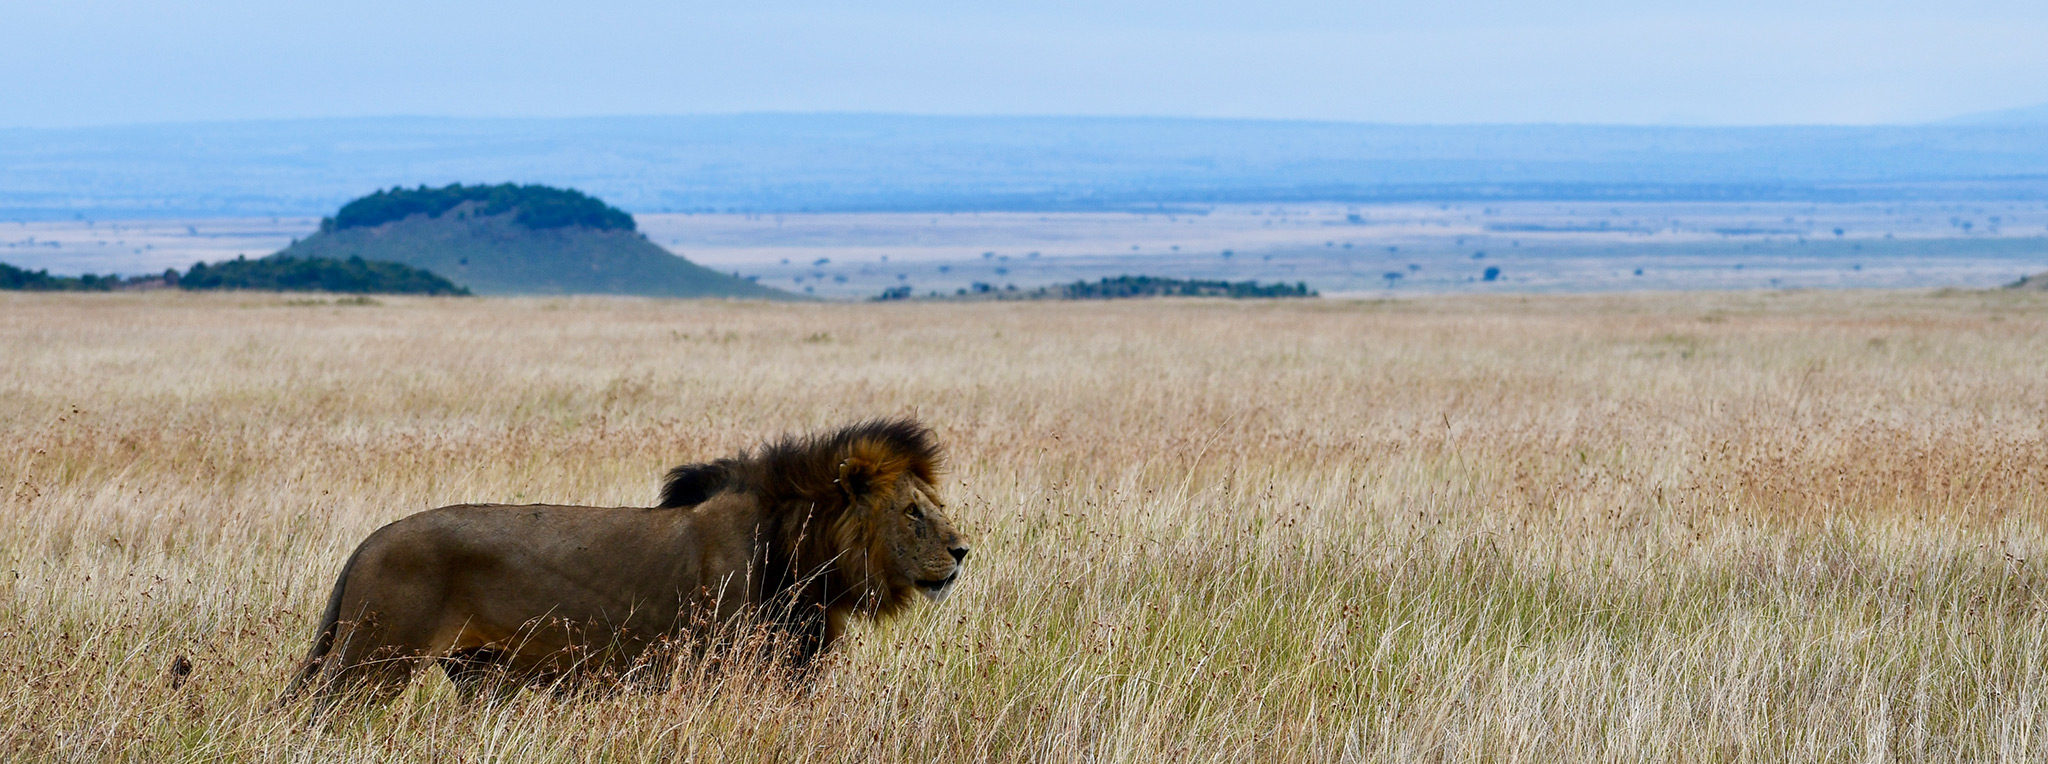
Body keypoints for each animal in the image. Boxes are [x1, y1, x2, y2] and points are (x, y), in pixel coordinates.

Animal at [279, 418, 969, 706]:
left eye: (935, 505)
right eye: (913, 512)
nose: (963, 552)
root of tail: (369, 543)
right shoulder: (723, 669)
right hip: (371, 661)